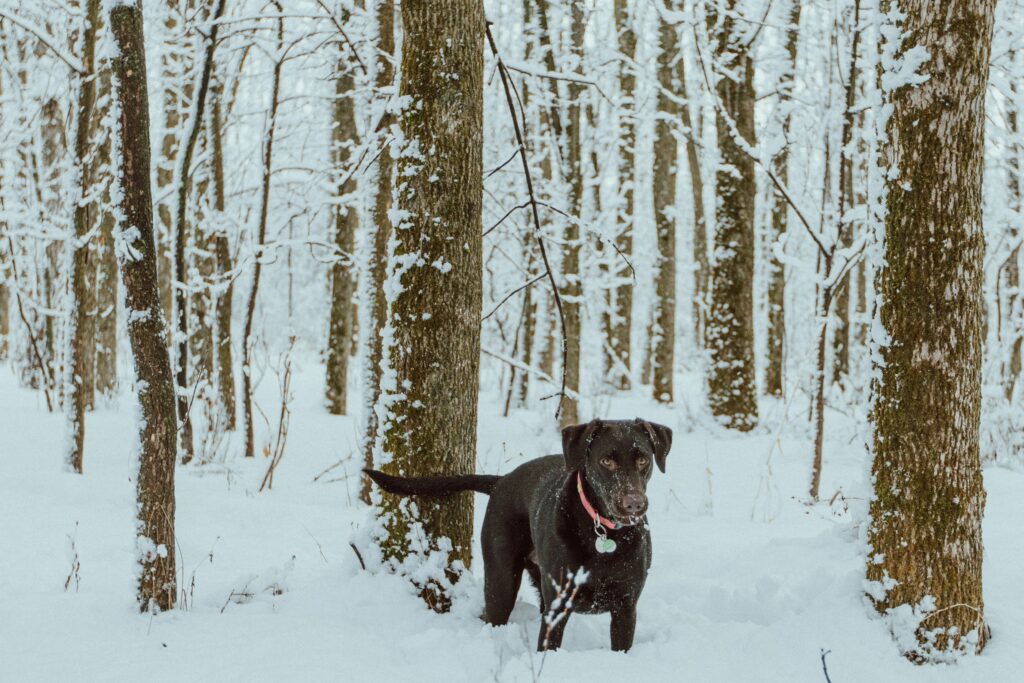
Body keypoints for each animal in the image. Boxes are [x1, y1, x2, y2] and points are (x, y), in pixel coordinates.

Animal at [366, 417, 671, 651]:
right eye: (607, 460)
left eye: (643, 460)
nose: (634, 504)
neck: (603, 532)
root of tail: (501, 480)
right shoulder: (558, 606)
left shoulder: (626, 608)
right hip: (501, 579)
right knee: (493, 614)